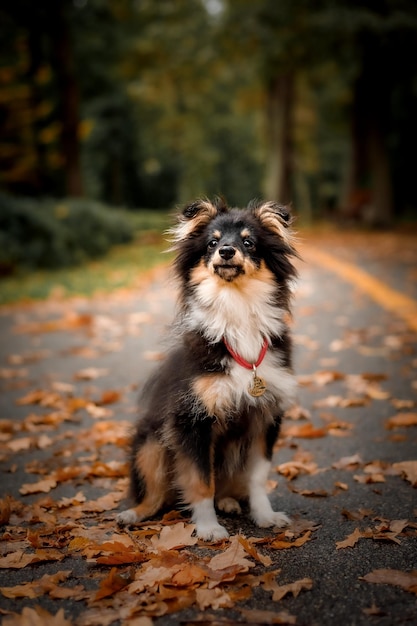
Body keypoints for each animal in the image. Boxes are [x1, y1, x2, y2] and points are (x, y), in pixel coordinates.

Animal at [116, 197, 300, 540]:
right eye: (212, 243)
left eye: (248, 242)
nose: (226, 251)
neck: (236, 306)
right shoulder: (192, 421)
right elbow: (200, 481)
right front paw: (208, 528)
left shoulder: (264, 417)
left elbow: (257, 478)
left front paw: (265, 516)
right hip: (151, 443)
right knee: (155, 494)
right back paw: (134, 514)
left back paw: (227, 501)